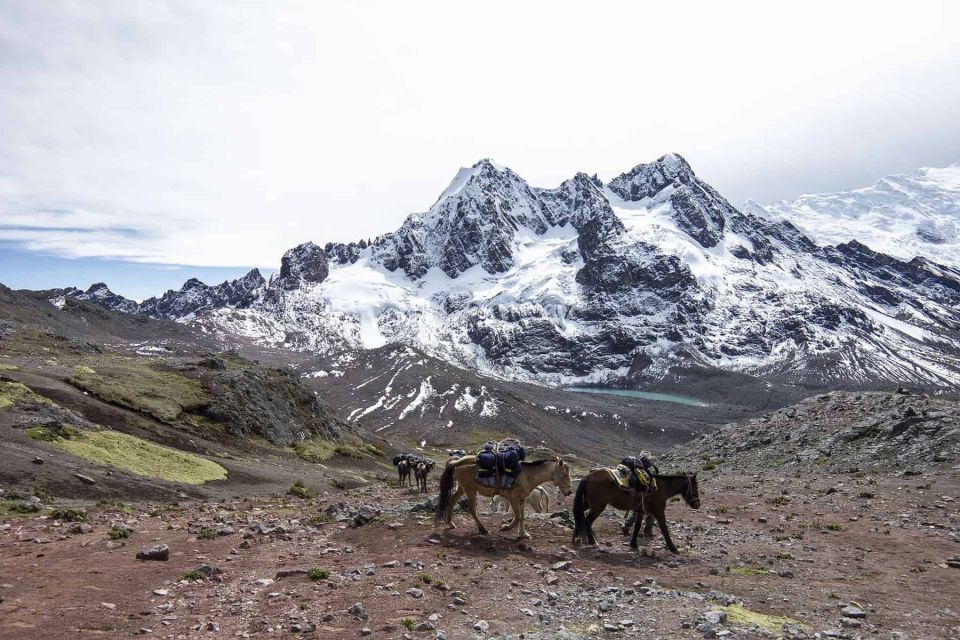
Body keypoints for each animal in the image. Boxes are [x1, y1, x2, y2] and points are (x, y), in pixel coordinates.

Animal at [434, 456, 568, 540]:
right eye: (564, 474)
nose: (569, 491)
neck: (527, 475)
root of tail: (457, 462)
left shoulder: (522, 499)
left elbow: (522, 517)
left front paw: (523, 534)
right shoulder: (513, 499)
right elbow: (517, 517)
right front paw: (506, 527)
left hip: (462, 488)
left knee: (452, 501)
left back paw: (451, 523)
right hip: (470, 490)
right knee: (472, 508)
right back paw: (483, 529)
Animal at [568, 470, 696, 556]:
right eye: (695, 486)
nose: (697, 504)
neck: (661, 488)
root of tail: (588, 477)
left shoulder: (641, 511)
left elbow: (637, 527)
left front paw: (634, 544)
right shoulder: (659, 512)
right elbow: (664, 529)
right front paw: (674, 548)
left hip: (588, 503)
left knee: (578, 512)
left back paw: (576, 538)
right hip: (598, 506)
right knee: (587, 521)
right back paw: (591, 541)